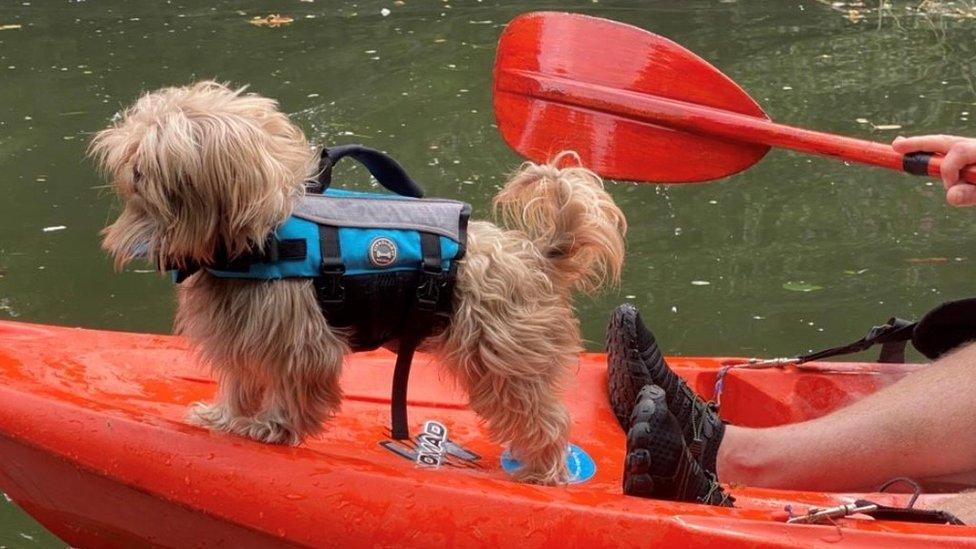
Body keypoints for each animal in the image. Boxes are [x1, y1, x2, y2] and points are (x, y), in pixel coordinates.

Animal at [91, 81, 624, 484]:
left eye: (159, 141)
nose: (122, 157)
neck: (258, 239)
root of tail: (537, 254)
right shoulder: (242, 336)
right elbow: (241, 383)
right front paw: (227, 418)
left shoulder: (300, 344)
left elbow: (296, 388)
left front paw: (273, 427)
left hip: (507, 365)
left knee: (545, 421)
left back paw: (542, 472)